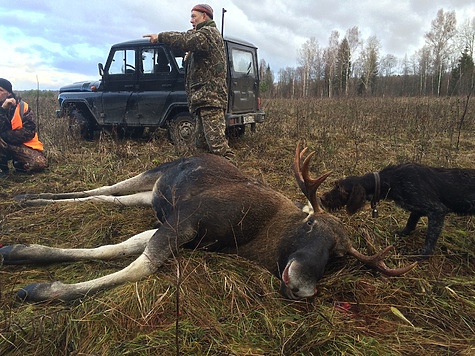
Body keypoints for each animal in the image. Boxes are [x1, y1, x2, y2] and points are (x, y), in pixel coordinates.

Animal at [0, 143, 416, 302]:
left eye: (338, 255)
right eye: (313, 227)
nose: (303, 288)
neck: (253, 238)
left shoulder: (180, 229)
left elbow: (113, 249)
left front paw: (19, 251)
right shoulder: (184, 220)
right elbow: (139, 268)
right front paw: (41, 290)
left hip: (149, 195)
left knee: (107, 198)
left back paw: (27, 200)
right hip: (152, 172)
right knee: (104, 187)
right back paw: (28, 197)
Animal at [320, 163, 475, 258]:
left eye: (340, 189)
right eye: (336, 184)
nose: (321, 198)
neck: (391, 181)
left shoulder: (436, 211)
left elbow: (430, 239)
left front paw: (422, 256)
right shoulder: (417, 209)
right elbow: (410, 222)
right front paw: (403, 233)